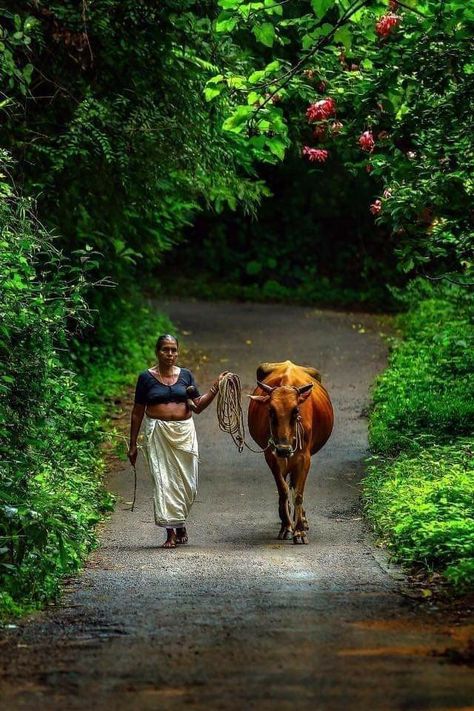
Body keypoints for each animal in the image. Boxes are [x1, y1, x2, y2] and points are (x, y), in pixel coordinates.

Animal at [248, 362, 334, 544]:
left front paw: (299, 530)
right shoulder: (272, 457)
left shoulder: (304, 458)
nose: (283, 449)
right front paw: (287, 526)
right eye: (270, 411)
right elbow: (283, 491)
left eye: (296, 411)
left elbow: (298, 494)